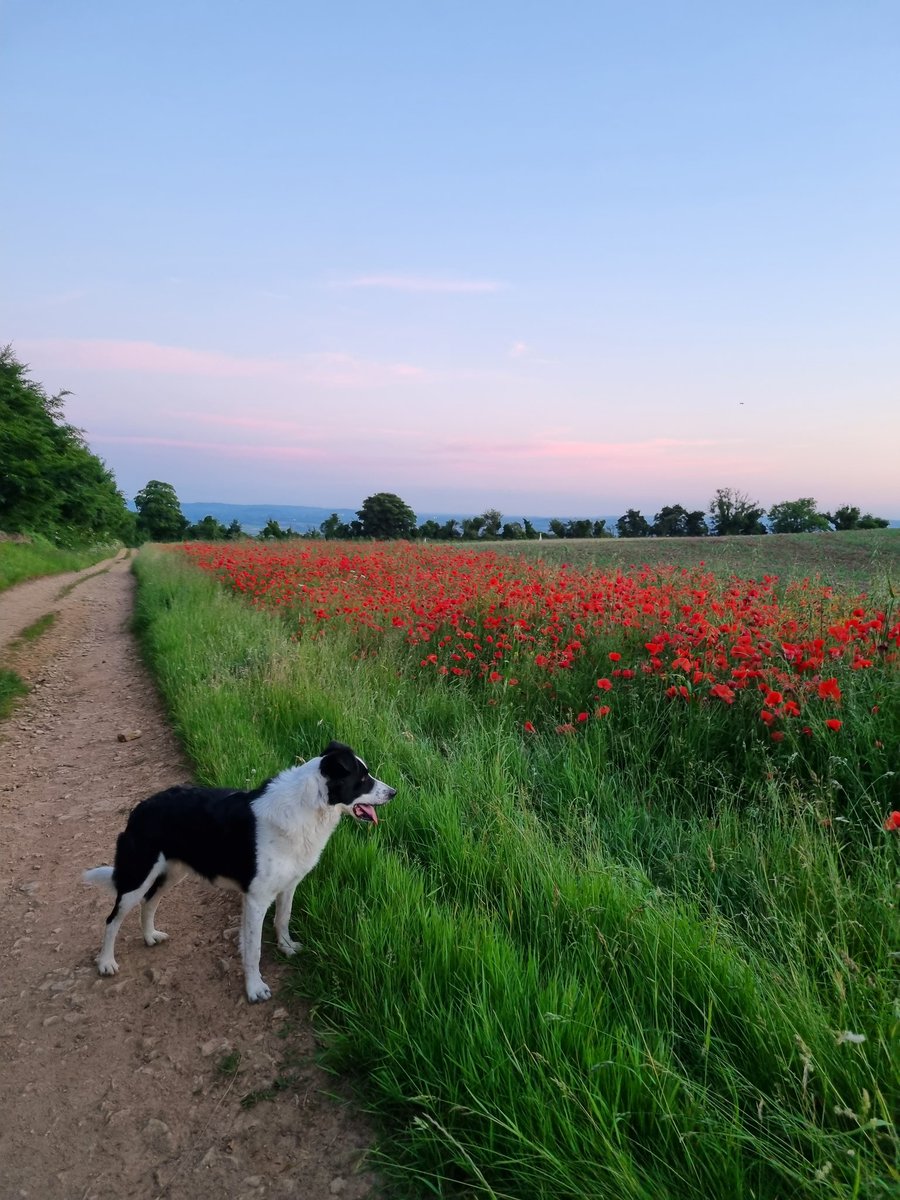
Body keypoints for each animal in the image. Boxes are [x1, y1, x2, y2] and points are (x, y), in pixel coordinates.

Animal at [84, 739, 393, 1003]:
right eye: (362, 780)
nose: (394, 793)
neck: (307, 807)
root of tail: (139, 809)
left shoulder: (288, 885)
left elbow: (282, 920)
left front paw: (287, 948)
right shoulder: (256, 898)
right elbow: (254, 949)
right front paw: (255, 989)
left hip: (172, 873)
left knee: (149, 903)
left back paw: (150, 937)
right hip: (137, 875)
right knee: (112, 919)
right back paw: (106, 963)